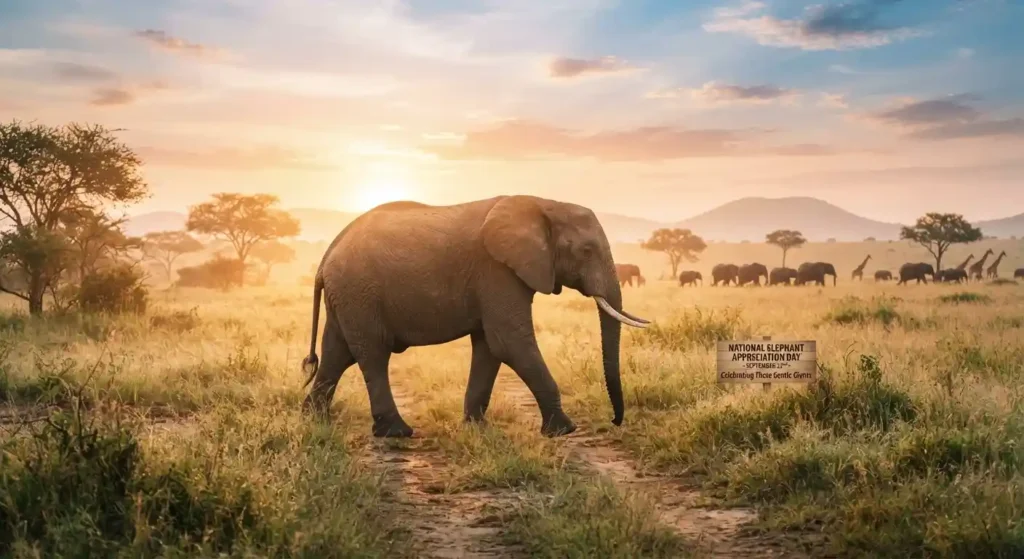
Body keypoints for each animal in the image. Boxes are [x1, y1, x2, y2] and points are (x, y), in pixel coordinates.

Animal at [299, 195, 651, 439]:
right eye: (587, 251)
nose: (615, 421)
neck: (545, 204)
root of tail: (325, 258)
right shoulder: (497, 270)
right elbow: (509, 341)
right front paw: (564, 431)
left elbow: (490, 347)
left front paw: (475, 427)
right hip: (359, 293)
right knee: (372, 354)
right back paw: (397, 434)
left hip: (347, 298)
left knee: (336, 353)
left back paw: (314, 422)